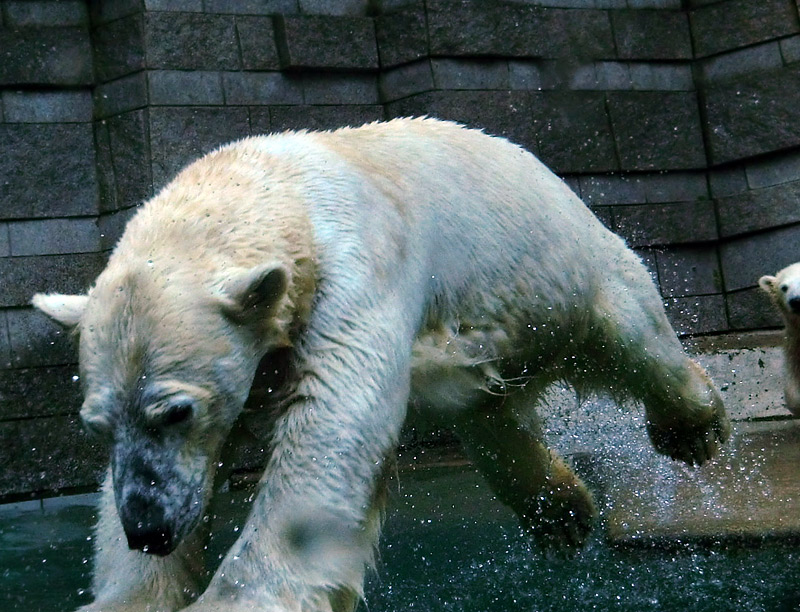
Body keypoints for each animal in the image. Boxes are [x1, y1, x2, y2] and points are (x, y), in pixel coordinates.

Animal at [34, 118, 728, 612]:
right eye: (97, 426)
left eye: (176, 411)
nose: (147, 527)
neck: (279, 185)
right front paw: (132, 592)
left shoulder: (352, 274)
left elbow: (327, 430)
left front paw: (239, 599)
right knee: (489, 414)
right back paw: (563, 515)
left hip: (559, 262)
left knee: (630, 334)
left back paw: (692, 430)